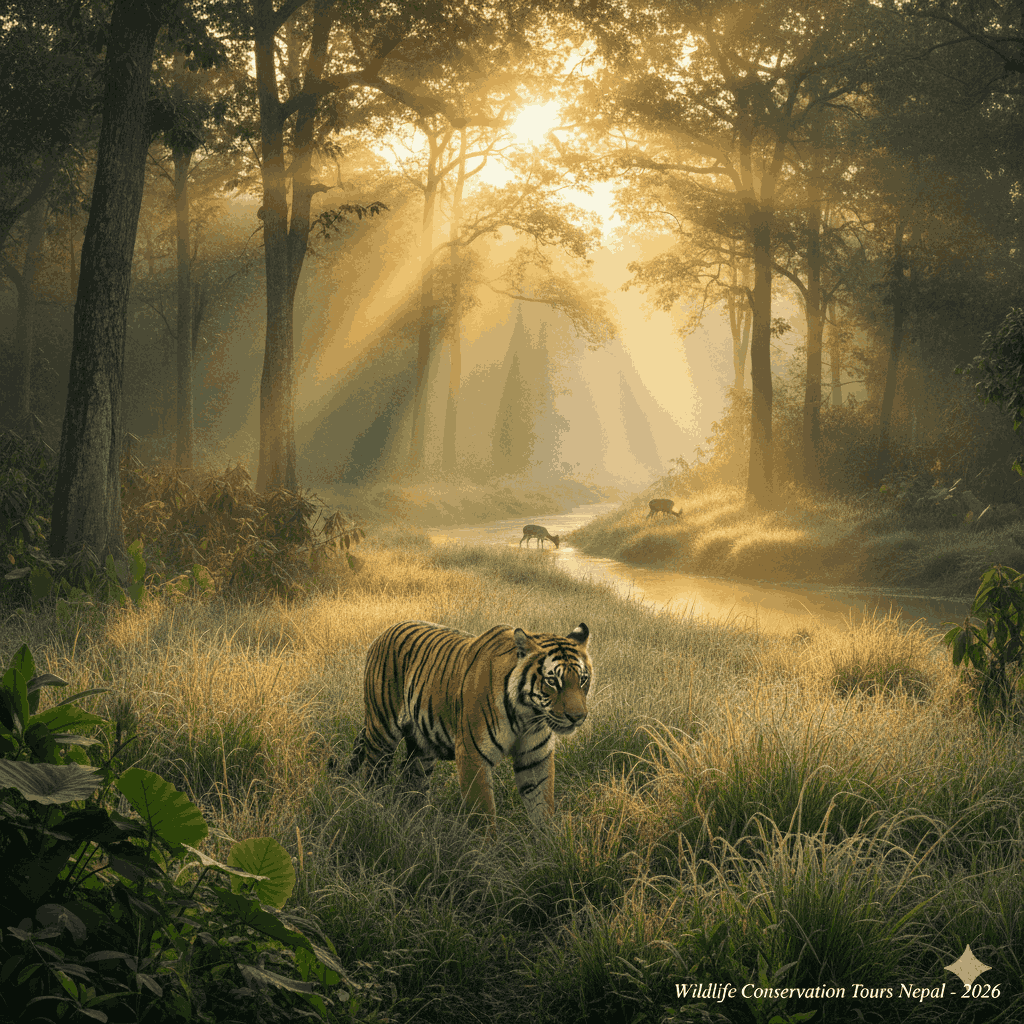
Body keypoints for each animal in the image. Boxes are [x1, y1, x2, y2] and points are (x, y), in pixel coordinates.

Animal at [346, 619, 594, 829]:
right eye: (552, 681)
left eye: (582, 680)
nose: (577, 717)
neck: (527, 715)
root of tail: (384, 632)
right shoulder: (472, 755)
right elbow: (483, 814)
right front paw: (487, 853)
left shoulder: (535, 758)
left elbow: (542, 806)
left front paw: (546, 845)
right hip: (382, 731)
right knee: (373, 773)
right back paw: (374, 810)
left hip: (422, 748)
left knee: (412, 780)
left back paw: (416, 823)